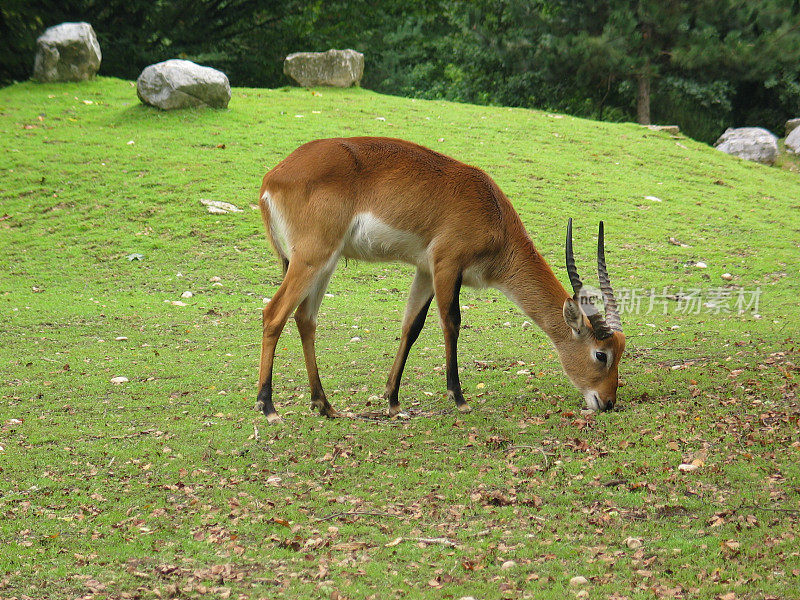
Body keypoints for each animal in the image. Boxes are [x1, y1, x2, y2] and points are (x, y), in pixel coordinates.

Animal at [256, 138, 624, 424]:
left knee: (305, 318)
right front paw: (459, 398)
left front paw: (393, 402)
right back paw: (268, 406)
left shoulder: (425, 270)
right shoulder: (448, 265)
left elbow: (412, 326)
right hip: (310, 258)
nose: (607, 402)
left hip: (325, 263)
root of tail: (272, 177)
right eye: (601, 354)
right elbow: (451, 323)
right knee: (274, 313)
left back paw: (325, 405)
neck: (493, 211)